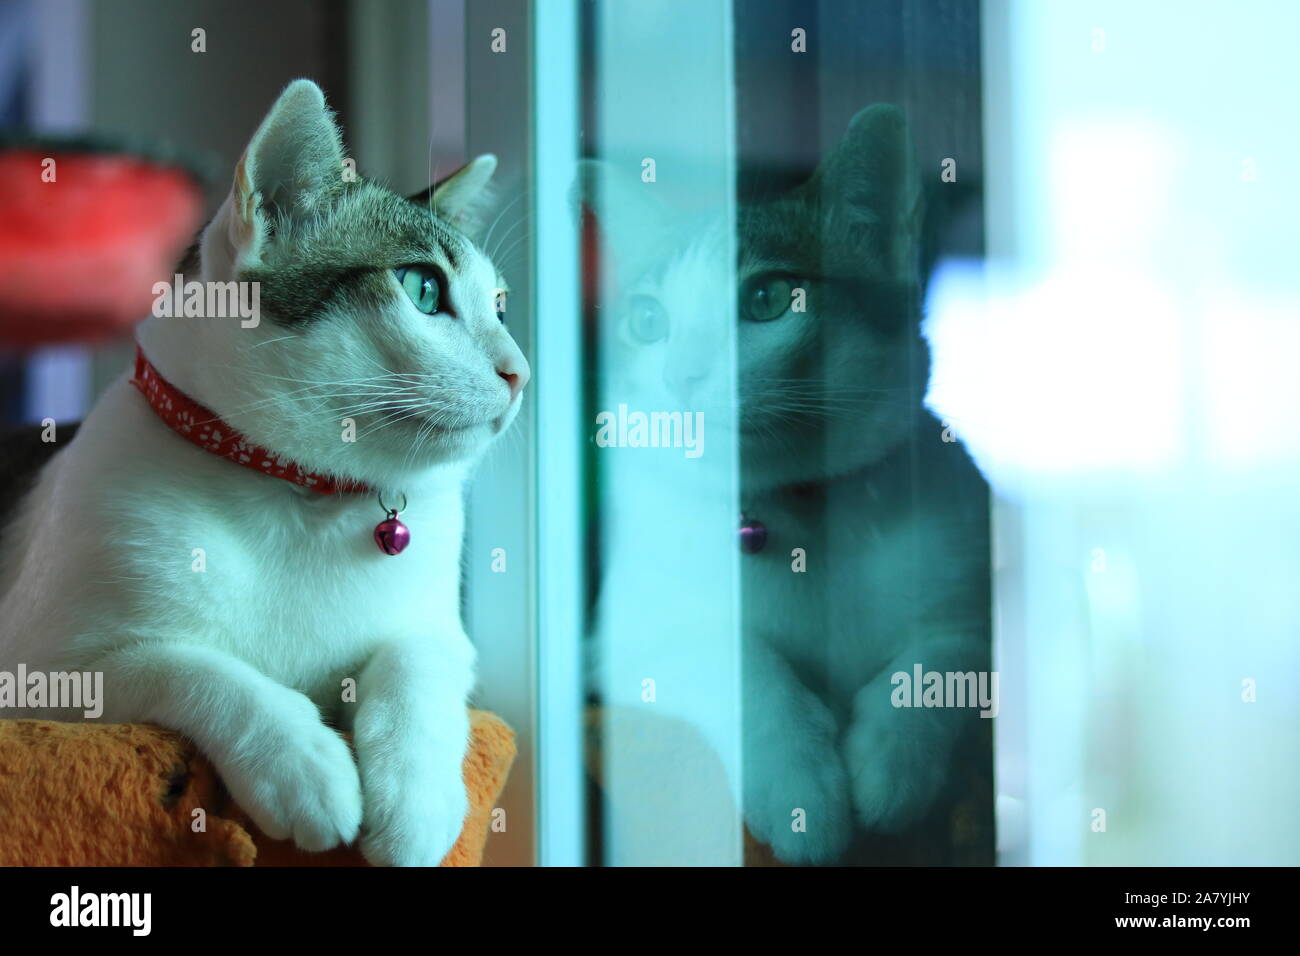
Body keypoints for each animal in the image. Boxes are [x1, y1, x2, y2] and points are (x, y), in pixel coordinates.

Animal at [1, 76, 527, 868]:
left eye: (499, 306)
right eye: (423, 289)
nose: (519, 371)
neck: (304, 496)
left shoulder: (444, 632)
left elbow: (418, 663)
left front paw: (416, 803)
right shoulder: (41, 672)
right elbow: (189, 666)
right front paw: (304, 763)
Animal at [585, 106, 987, 868]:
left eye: (767, 300)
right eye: (648, 321)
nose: (681, 376)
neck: (804, 508)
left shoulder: (969, 592)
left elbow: (946, 655)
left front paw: (892, 761)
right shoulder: (618, 635)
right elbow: (742, 661)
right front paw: (802, 794)